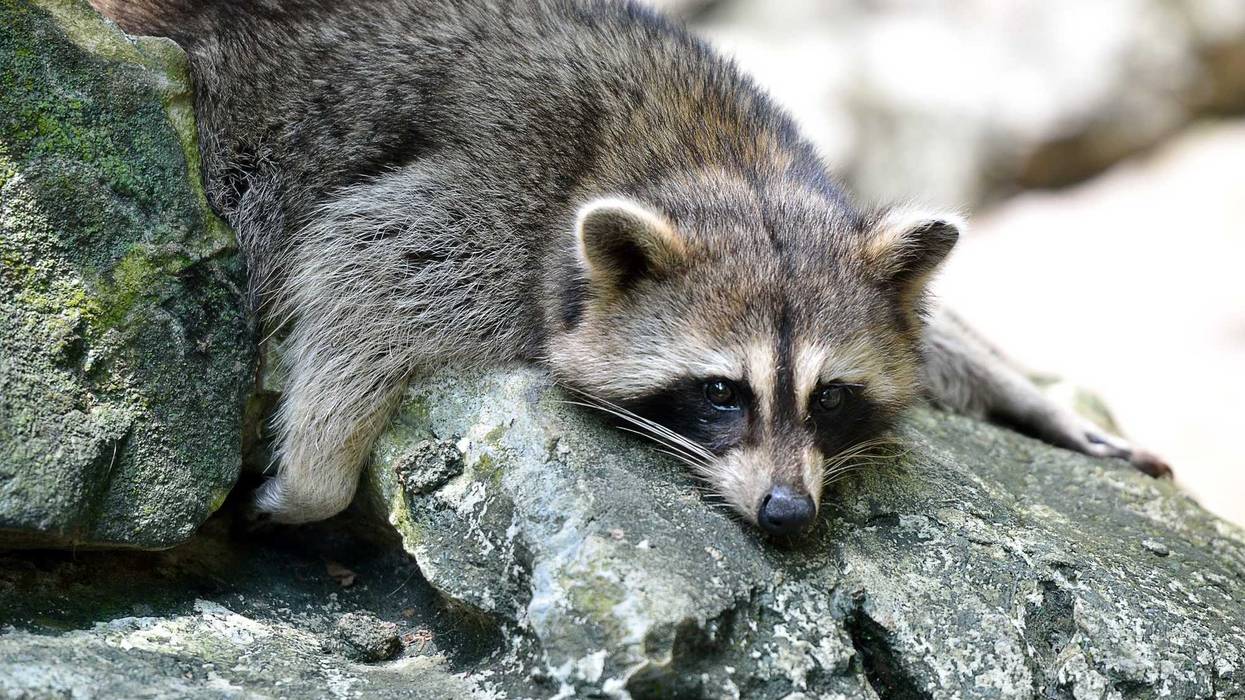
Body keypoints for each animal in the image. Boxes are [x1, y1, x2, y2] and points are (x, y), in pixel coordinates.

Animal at [90, 0, 1168, 535]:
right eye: (721, 392)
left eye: (829, 399)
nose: (787, 515)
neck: (724, 159)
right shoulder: (499, 202)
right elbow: (366, 259)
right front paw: (313, 473)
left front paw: (1032, 395)